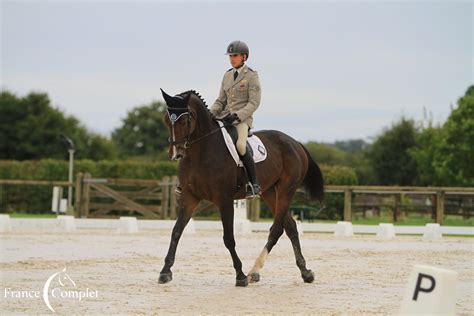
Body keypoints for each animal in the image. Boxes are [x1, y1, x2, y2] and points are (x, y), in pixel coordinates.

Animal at [157, 88, 324, 286]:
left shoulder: (224, 200)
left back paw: (254, 271)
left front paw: (240, 275)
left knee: (277, 230)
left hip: (286, 190)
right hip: (269, 192)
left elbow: (229, 238)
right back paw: (305, 272)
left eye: (185, 120)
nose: (176, 153)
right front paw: (165, 271)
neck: (201, 153)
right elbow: (176, 231)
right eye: (167, 120)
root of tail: (295, 143)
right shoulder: (189, 197)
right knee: (290, 226)